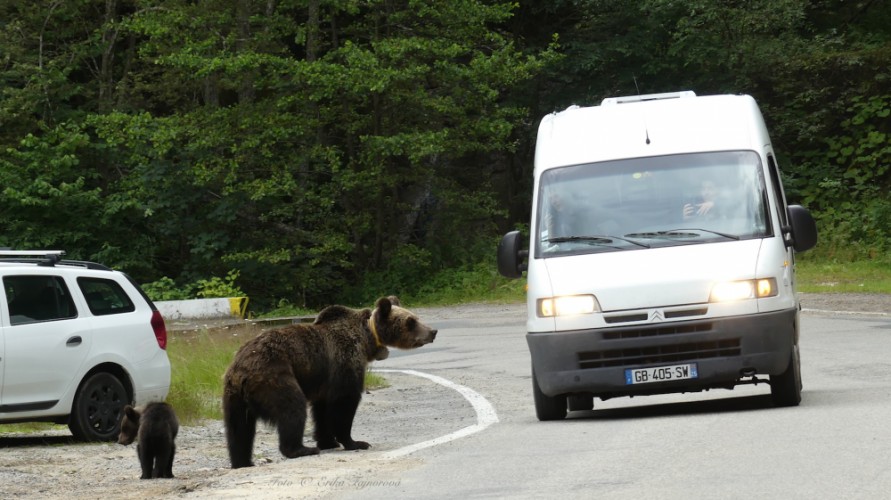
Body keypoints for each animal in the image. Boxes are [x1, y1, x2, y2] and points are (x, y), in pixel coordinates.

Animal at [220, 294, 436, 466]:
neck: (367, 339)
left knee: (239, 430)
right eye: (411, 321)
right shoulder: (346, 361)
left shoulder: (325, 381)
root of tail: (241, 371)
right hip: (274, 377)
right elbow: (345, 402)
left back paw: (242, 461)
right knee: (292, 407)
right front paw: (355, 442)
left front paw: (327, 441)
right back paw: (301, 449)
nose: (432, 332)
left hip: (233, 397)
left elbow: (322, 410)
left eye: (415, 317)